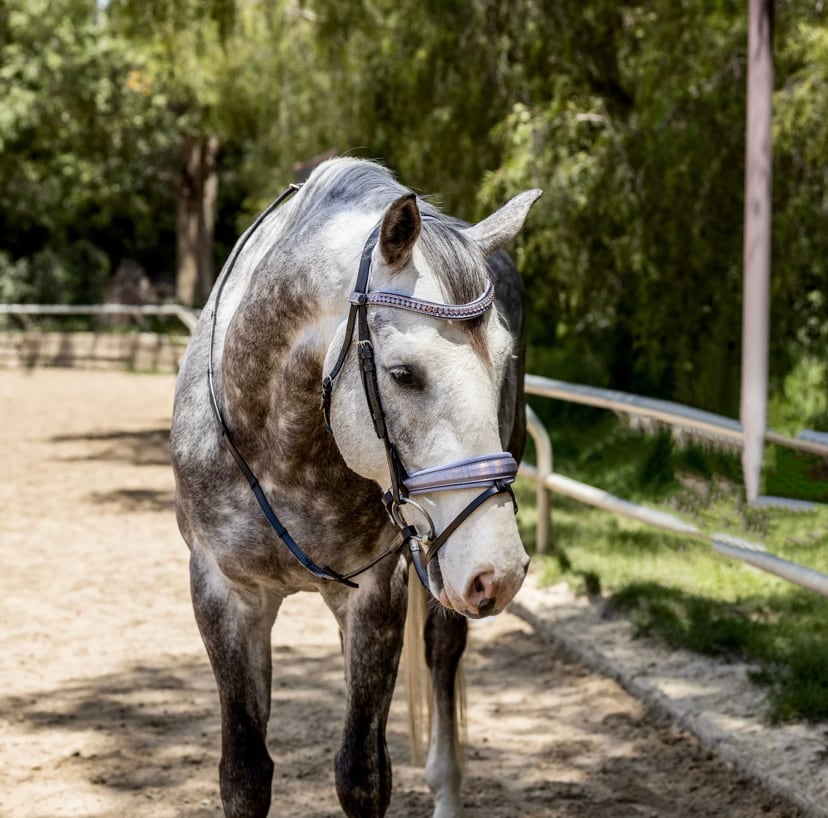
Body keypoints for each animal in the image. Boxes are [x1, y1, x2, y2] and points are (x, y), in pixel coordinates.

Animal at [169, 156, 544, 812]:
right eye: (403, 374)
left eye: (505, 362)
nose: (499, 571)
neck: (283, 450)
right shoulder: (222, 592)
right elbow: (244, 774)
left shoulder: (377, 592)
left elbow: (363, 773)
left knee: (442, 650)